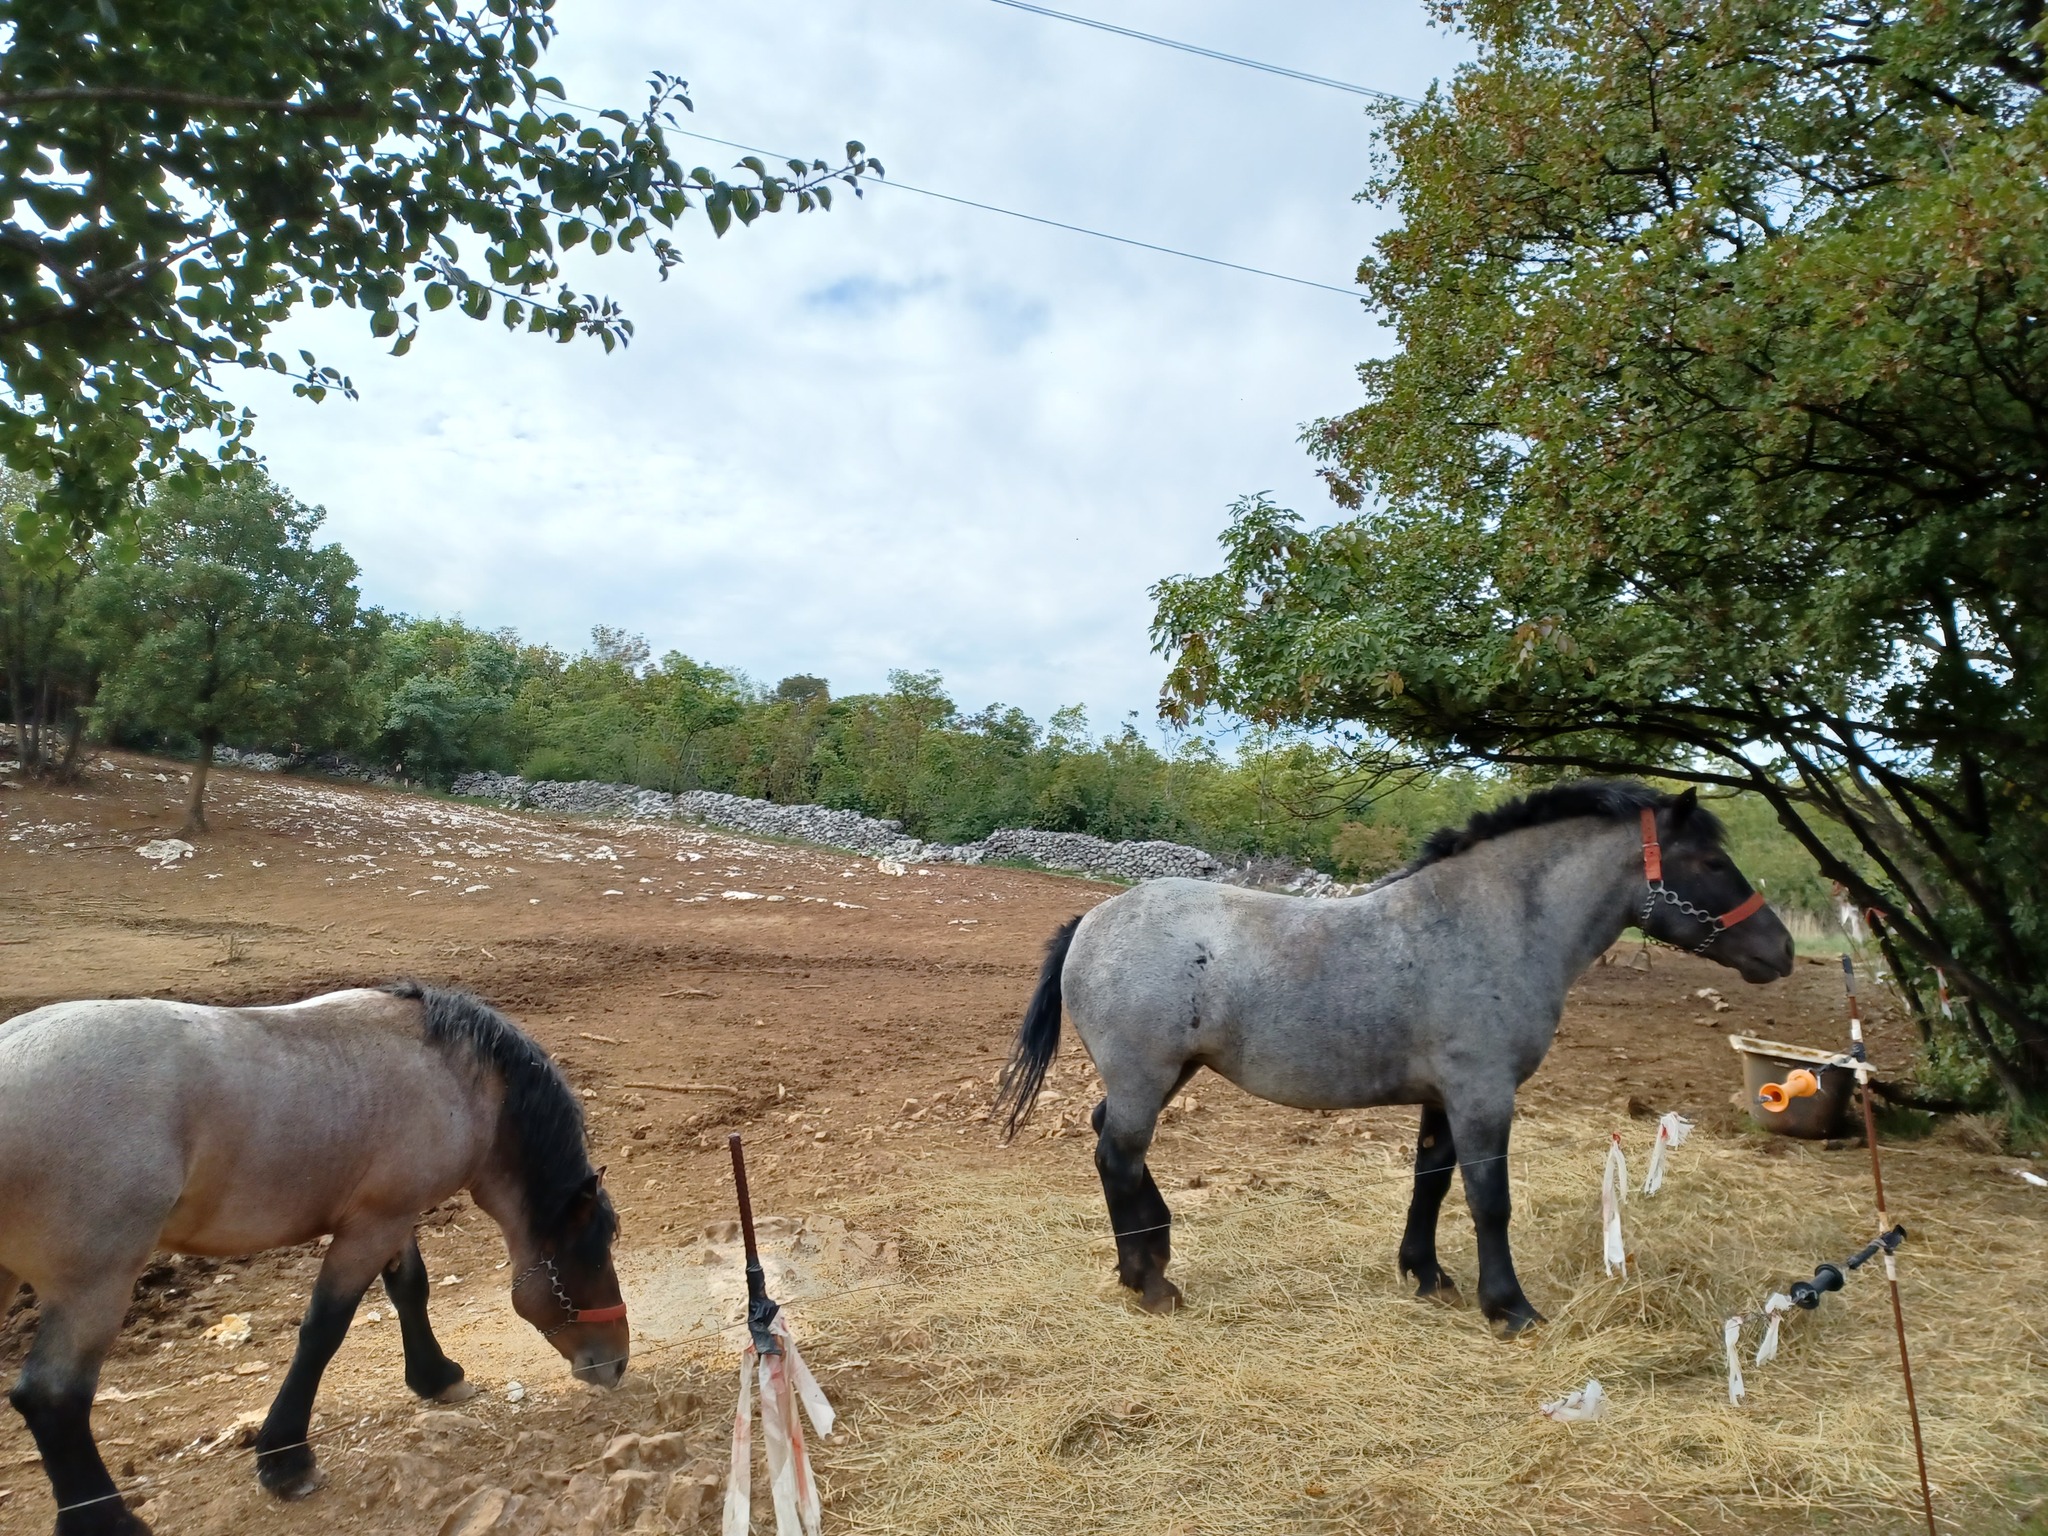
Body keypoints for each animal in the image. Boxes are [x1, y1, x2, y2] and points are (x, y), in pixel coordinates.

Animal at [0, 980, 628, 1536]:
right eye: (594, 1259)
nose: (617, 1363)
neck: (456, 1077)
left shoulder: (391, 1217)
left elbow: (411, 1290)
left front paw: (435, 1377)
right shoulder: (372, 1225)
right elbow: (325, 1329)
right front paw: (285, 1459)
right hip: (95, 1285)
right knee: (52, 1397)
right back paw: (107, 1522)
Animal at [995, 781, 1795, 1329]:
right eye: (1711, 861)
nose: (1781, 950)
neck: (1482, 923)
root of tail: (1091, 918)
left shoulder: (1445, 1099)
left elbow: (1431, 1184)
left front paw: (1427, 1274)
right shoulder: (1483, 1094)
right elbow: (1489, 1199)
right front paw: (1509, 1307)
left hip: (1163, 1075)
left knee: (1110, 1141)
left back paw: (1152, 1256)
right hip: (1146, 1076)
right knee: (1117, 1157)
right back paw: (1150, 1282)